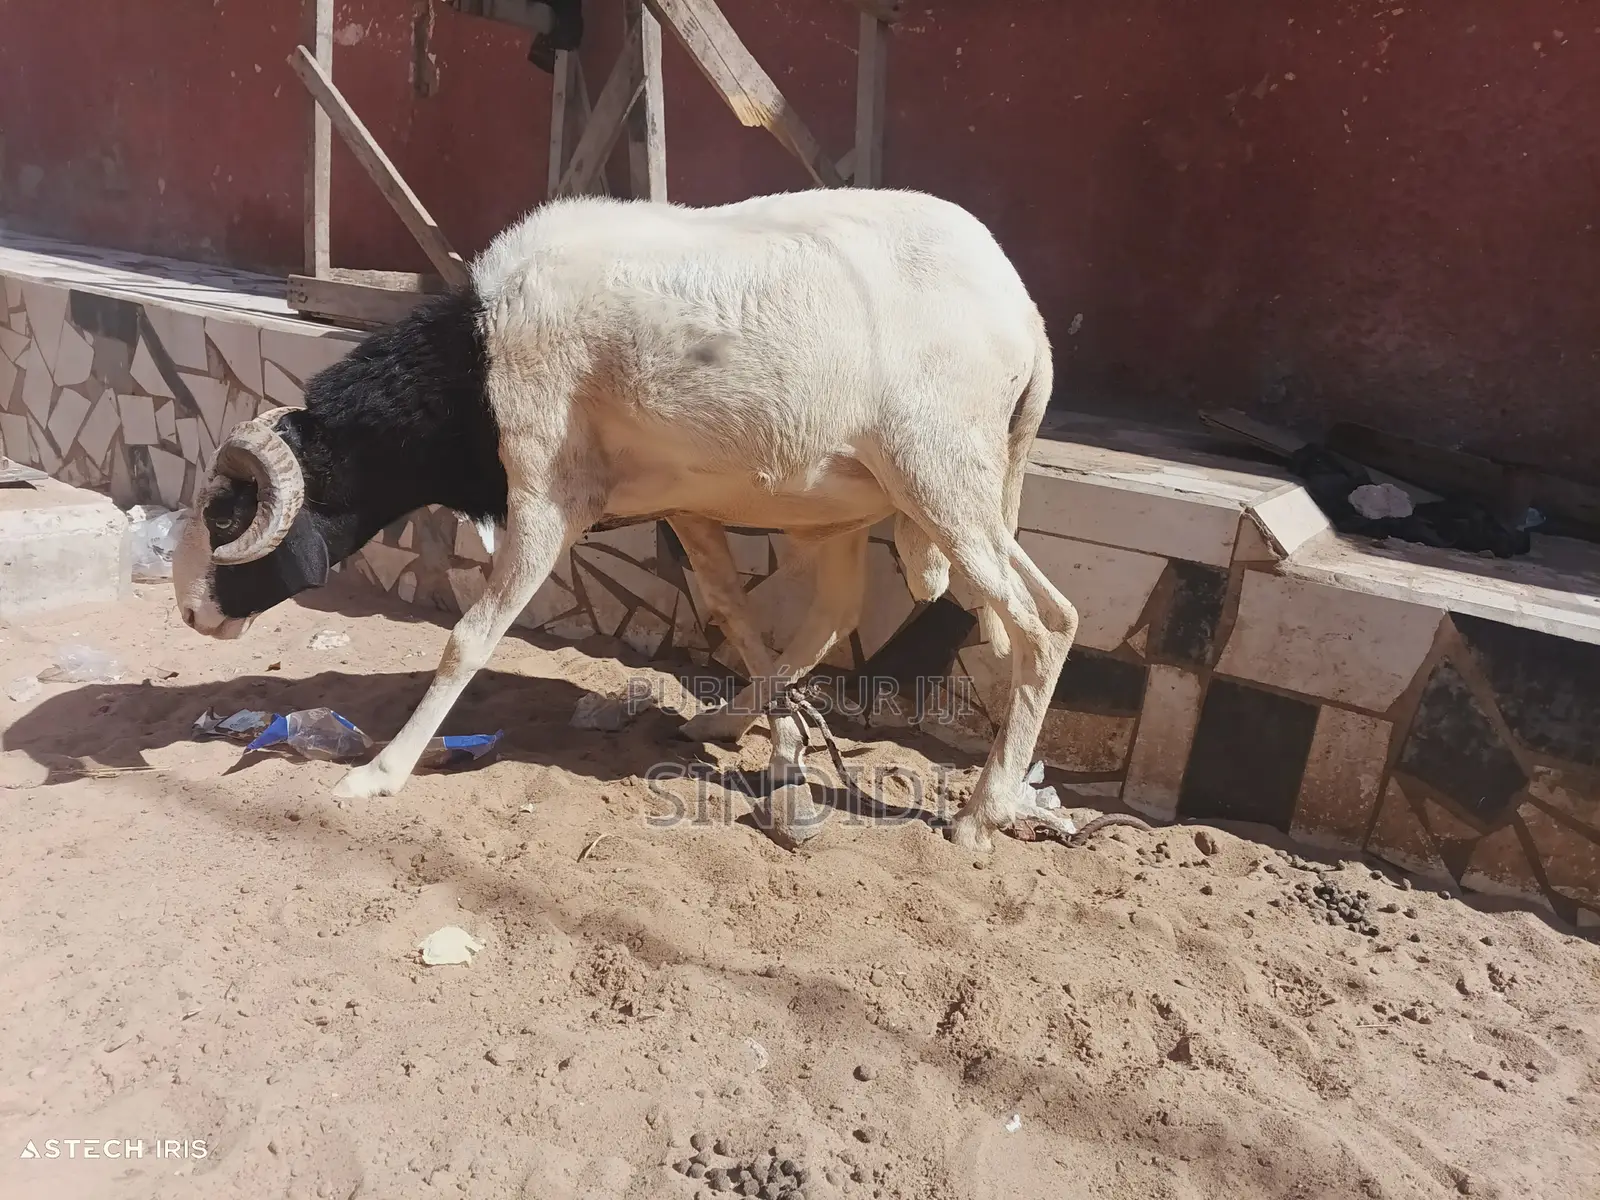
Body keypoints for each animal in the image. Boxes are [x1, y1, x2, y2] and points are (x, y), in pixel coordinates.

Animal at [172, 187, 1079, 852]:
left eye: (226, 514)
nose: (188, 612)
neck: (477, 359)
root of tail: (1027, 318)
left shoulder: (546, 495)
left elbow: (469, 637)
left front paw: (376, 775)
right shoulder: (687, 508)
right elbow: (732, 613)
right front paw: (767, 732)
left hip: (941, 479)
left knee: (1046, 624)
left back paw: (981, 813)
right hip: (885, 502)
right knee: (841, 613)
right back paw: (743, 721)